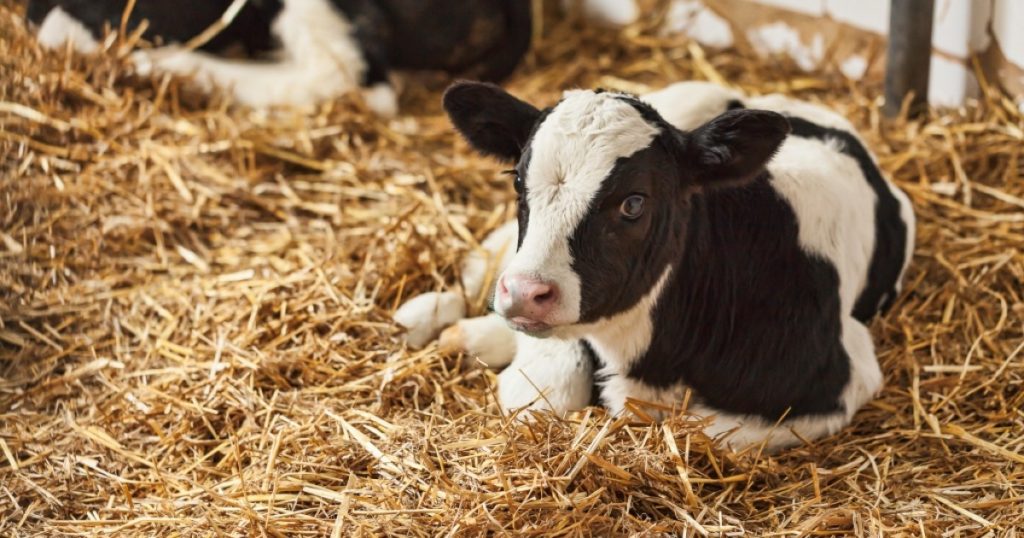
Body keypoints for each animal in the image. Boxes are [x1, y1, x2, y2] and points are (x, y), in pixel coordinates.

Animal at [395, 79, 917, 448]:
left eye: (634, 202)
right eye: (518, 181)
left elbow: (702, 432)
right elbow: (546, 391)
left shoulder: (845, 375)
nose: (525, 292)